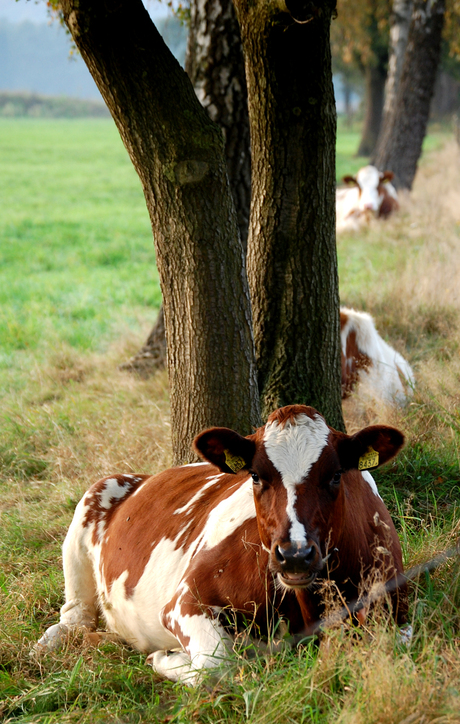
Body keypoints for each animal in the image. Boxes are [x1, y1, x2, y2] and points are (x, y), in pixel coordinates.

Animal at [36, 404, 410, 680]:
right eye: (255, 476)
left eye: (335, 475)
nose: (294, 555)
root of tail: (146, 476)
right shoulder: (185, 600)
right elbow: (216, 665)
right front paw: (163, 657)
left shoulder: (396, 606)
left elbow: (391, 646)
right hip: (91, 502)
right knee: (73, 617)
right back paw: (50, 645)